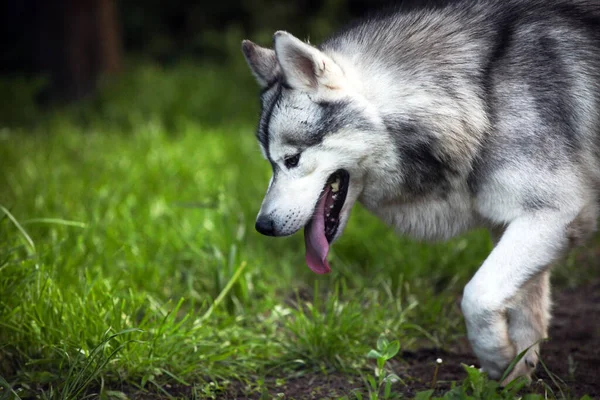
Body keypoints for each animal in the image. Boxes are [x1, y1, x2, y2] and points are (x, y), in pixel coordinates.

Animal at [241, 0, 600, 382]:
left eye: (292, 159)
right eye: (270, 163)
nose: (262, 226)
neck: (482, 98)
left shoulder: (557, 214)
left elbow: (477, 295)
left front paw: (498, 359)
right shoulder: (509, 222)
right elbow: (526, 312)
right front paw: (518, 374)